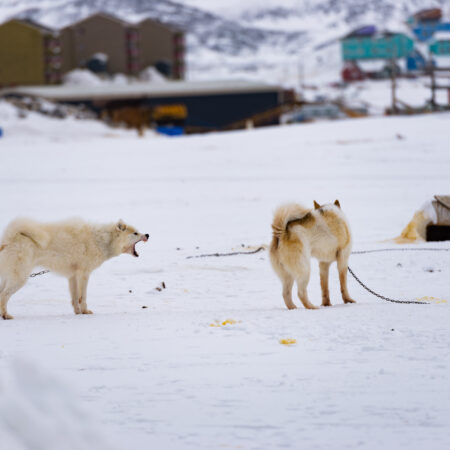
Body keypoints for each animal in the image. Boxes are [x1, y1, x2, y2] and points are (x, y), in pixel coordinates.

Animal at [0, 219, 149, 320]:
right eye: (135, 233)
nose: (147, 234)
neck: (101, 241)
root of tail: (9, 238)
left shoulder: (73, 276)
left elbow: (75, 297)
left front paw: (77, 313)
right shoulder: (84, 274)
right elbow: (83, 297)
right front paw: (85, 311)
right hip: (20, 278)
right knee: (4, 295)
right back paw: (6, 315)